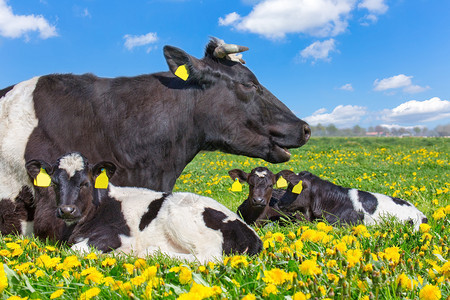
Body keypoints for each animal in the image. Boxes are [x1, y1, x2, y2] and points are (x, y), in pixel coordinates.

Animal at [26, 152, 262, 262]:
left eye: (85, 183)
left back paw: (150, 252)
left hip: (180, 216)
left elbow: (76, 250)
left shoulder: (118, 235)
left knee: (208, 257)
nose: (67, 210)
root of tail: (254, 236)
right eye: (55, 183)